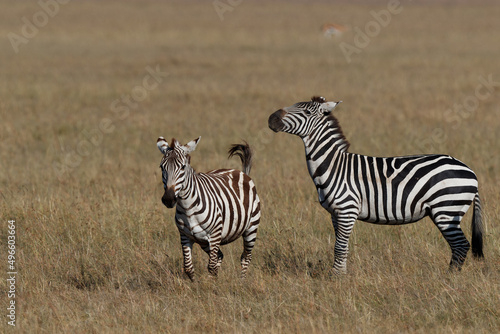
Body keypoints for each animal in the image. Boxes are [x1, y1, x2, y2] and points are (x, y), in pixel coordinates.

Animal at [157, 137, 262, 280]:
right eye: (162, 167)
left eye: (183, 167)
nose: (168, 199)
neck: (187, 208)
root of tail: (239, 172)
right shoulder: (185, 236)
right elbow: (188, 268)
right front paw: (197, 284)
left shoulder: (215, 235)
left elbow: (211, 267)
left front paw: (212, 284)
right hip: (203, 242)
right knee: (220, 256)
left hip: (251, 228)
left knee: (245, 257)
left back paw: (242, 281)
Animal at [270, 96, 484, 274]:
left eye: (306, 112)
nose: (271, 118)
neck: (334, 166)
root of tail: (470, 170)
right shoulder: (335, 213)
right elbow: (341, 246)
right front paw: (341, 275)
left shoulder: (347, 210)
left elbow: (339, 247)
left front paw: (336, 279)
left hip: (446, 209)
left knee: (461, 245)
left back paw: (449, 279)